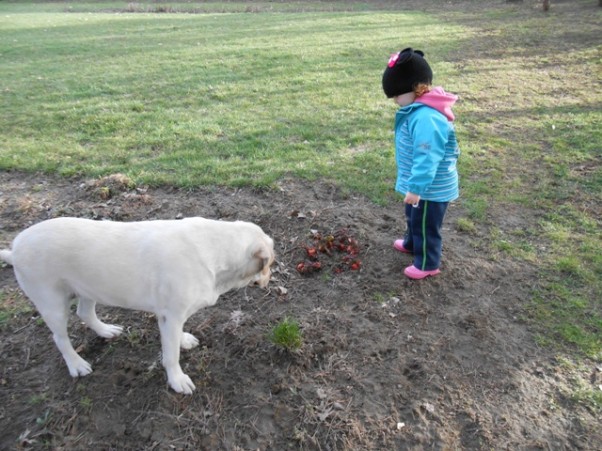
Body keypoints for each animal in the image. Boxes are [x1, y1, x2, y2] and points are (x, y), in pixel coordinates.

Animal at [0, 217, 274, 394]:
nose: (269, 279)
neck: (215, 250)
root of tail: (15, 247)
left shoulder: (174, 317)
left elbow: (177, 339)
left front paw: (184, 340)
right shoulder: (170, 316)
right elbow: (171, 356)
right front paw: (177, 380)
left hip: (90, 286)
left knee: (84, 312)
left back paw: (105, 330)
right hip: (52, 304)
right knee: (60, 338)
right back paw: (76, 364)